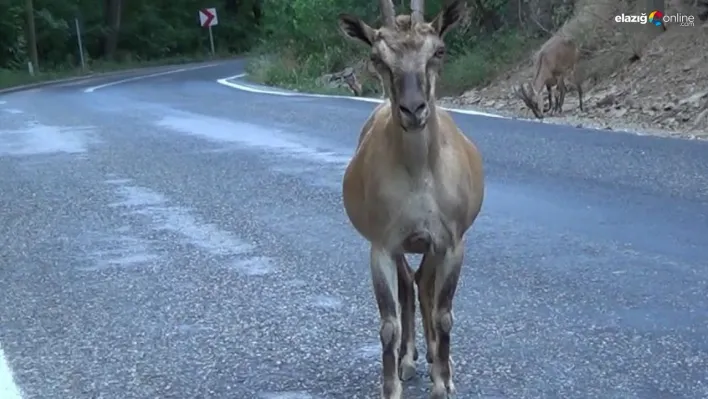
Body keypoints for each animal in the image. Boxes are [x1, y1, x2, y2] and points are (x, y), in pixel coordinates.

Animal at [338, 0, 486, 398]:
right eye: (377, 56)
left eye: (439, 50)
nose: (413, 109)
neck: (420, 176)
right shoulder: (383, 243)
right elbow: (388, 323)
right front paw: (392, 385)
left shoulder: (451, 240)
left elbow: (444, 313)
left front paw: (443, 382)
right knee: (410, 284)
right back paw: (409, 358)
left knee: (423, 285)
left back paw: (435, 357)